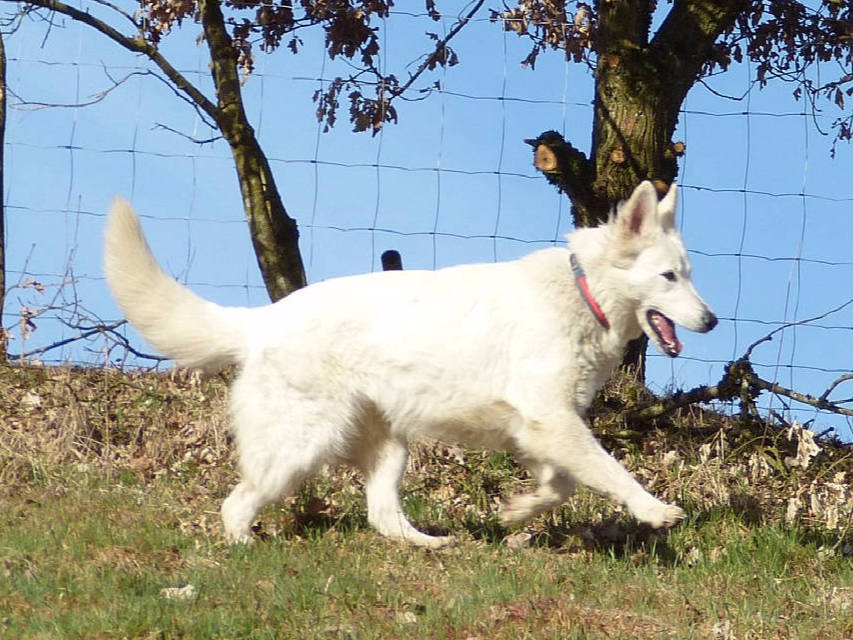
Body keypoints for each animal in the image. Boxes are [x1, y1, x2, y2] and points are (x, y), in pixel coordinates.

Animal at [108, 180, 720, 544]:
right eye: (669, 276)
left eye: (690, 274)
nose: (712, 320)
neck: (582, 290)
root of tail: (264, 319)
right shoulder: (553, 421)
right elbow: (608, 471)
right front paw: (652, 510)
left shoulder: (538, 429)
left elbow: (563, 485)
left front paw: (516, 513)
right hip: (303, 447)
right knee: (236, 504)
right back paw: (243, 548)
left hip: (390, 448)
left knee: (383, 516)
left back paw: (431, 545)